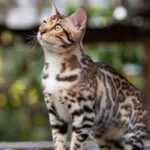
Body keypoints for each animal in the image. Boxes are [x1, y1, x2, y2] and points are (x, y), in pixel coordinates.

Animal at [37, 3, 149, 150]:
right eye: (44, 22)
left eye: (58, 27)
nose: (41, 30)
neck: (55, 66)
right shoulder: (56, 115)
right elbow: (58, 142)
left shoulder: (84, 115)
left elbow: (76, 144)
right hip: (105, 139)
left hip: (132, 136)